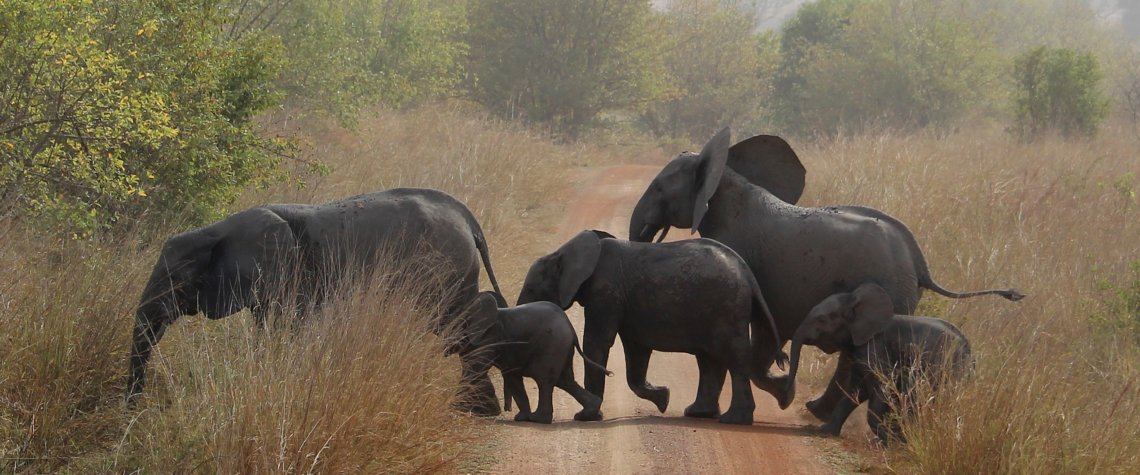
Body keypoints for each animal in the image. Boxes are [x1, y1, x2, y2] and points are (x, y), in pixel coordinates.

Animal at [124, 185, 503, 414]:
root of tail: (469, 220)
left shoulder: (283, 273)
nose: (132, 411)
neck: (215, 231)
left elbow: (285, 325)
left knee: (457, 321)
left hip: (439, 270)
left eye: (175, 280)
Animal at [517, 230, 784, 426]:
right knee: (710, 359)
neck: (562, 252)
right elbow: (636, 349)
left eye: (530, 289)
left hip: (725, 308)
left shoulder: (605, 292)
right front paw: (663, 398)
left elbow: (597, 341)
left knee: (732, 358)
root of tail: (748, 275)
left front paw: (587, 418)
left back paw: (734, 420)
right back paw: (699, 413)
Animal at [633, 125, 1026, 419]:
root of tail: (920, 263)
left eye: (658, 188)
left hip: (889, 287)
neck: (725, 174)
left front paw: (780, 393)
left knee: (858, 356)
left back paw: (814, 412)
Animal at [784, 281, 980, 439]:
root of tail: (969, 349)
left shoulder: (875, 347)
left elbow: (882, 387)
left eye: (822, 320)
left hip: (946, 367)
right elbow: (855, 391)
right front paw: (825, 431)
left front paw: (890, 440)